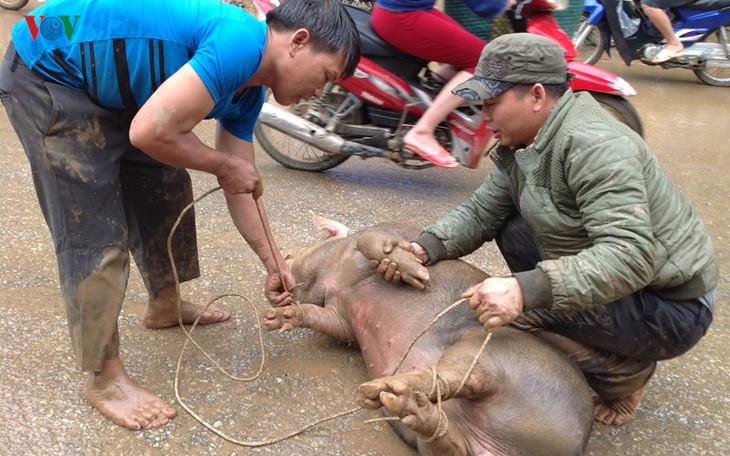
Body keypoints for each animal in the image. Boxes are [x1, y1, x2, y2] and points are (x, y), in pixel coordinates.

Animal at [262, 215, 592, 456]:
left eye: (296, 251)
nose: (284, 257)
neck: (336, 272)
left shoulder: (390, 232)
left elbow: (372, 241)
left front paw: (417, 274)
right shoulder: (342, 319)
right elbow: (321, 319)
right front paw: (275, 319)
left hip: (496, 353)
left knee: (462, 377)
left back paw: (382, 390)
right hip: (447, 431)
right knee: (447, 441)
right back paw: (405, 405)